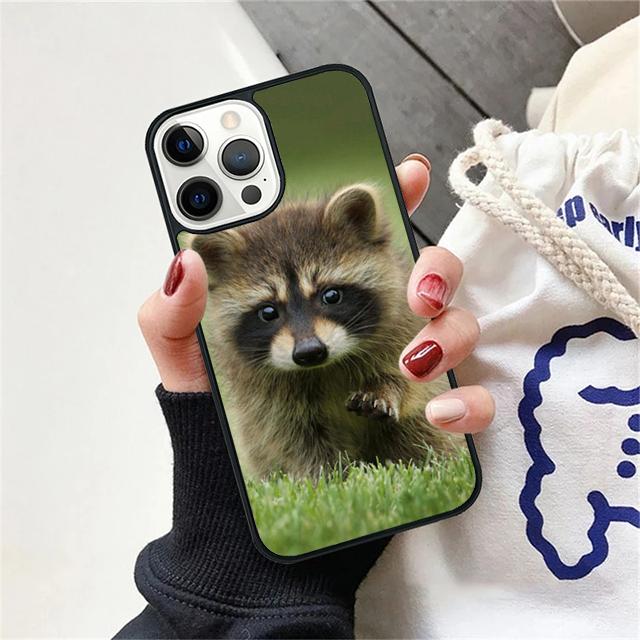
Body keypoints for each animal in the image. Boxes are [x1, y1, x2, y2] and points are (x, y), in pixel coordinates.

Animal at [192, 184, 459, 478]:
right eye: (268, 312)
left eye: (331, 295)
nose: (310, 352)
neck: (325, 366)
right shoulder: (263, 394)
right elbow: (293, 437)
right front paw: (332, 476)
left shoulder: (403, 326)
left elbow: (410, 379)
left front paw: (386, 387)